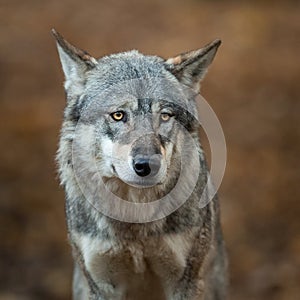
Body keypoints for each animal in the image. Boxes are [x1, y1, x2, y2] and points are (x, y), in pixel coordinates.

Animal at [52, 28, 227, 300]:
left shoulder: (185, 283)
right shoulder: (101, 286)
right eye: (118, 115)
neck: (134, 219)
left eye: (164, 115)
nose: (147, 165)